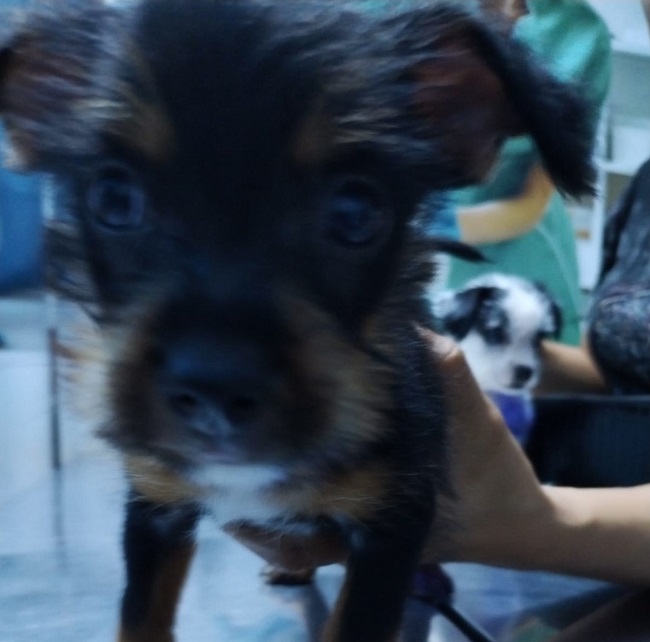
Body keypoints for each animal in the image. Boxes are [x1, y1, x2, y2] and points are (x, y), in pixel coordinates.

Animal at [0, 1, 594, 640]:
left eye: (356, 212)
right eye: (112, 198)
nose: (214, 386)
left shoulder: (394, 522)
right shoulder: (155, 507)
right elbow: (140, 615)